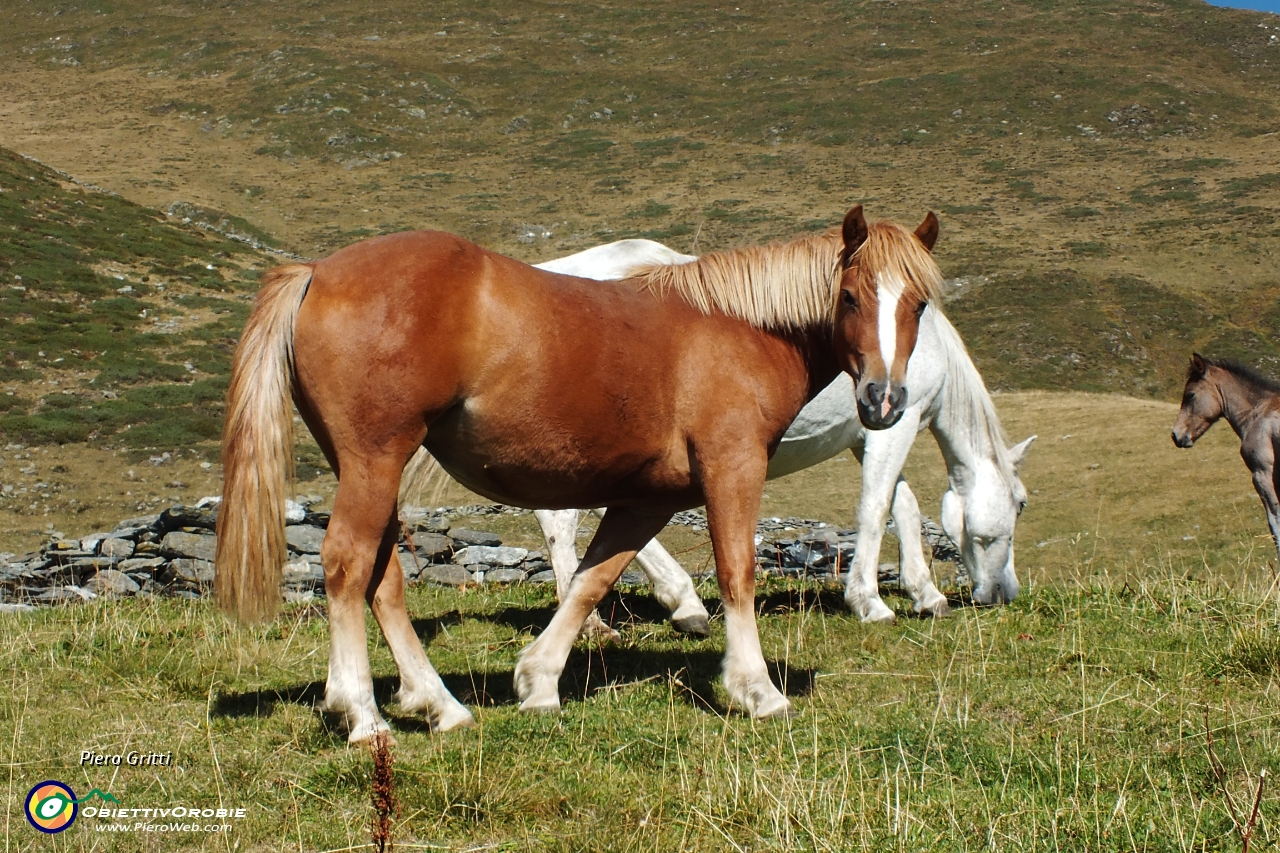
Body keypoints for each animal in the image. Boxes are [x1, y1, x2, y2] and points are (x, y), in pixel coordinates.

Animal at [217, 204, 942, 737]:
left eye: (917, 304)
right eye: (849, 295)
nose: (883, 400)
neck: (739, 328)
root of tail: (317, 270)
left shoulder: (649, 497)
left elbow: (592, 580)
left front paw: (538, 680)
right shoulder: (732, 469)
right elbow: (736, 574)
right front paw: (756, 689)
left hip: (370, 469)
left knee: (382, 576)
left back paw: (438, 703)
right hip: (374, 461)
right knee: (346, 565)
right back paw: (361, 713)